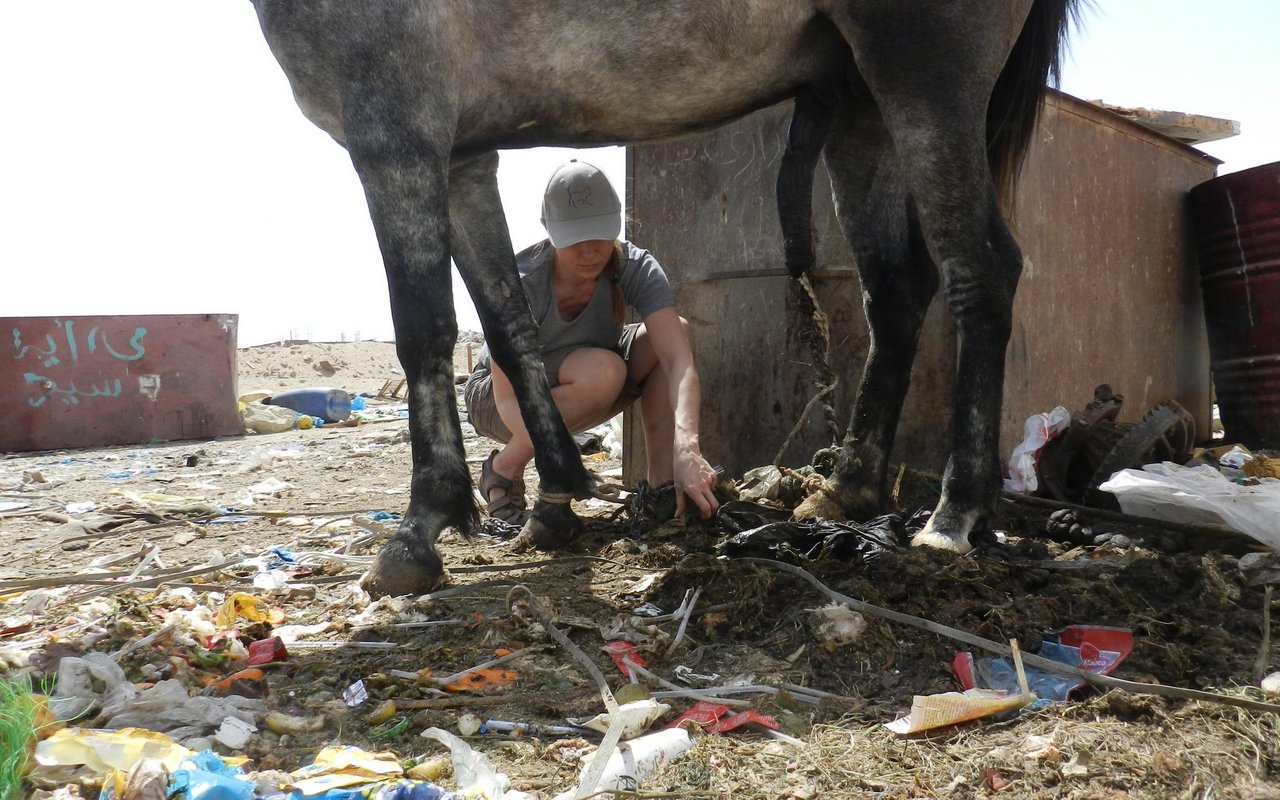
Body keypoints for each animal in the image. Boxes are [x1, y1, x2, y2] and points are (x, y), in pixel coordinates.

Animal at [249, 0, 1080, 596]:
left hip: (925, 75)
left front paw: (420, 531)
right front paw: (557, 496)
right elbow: (508, 324)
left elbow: (422, 326)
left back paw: (953, 515)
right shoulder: (463, 154)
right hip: (860, 105)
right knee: (897, 290)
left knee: (981, 269)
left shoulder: (395, 126)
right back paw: (846, 489)